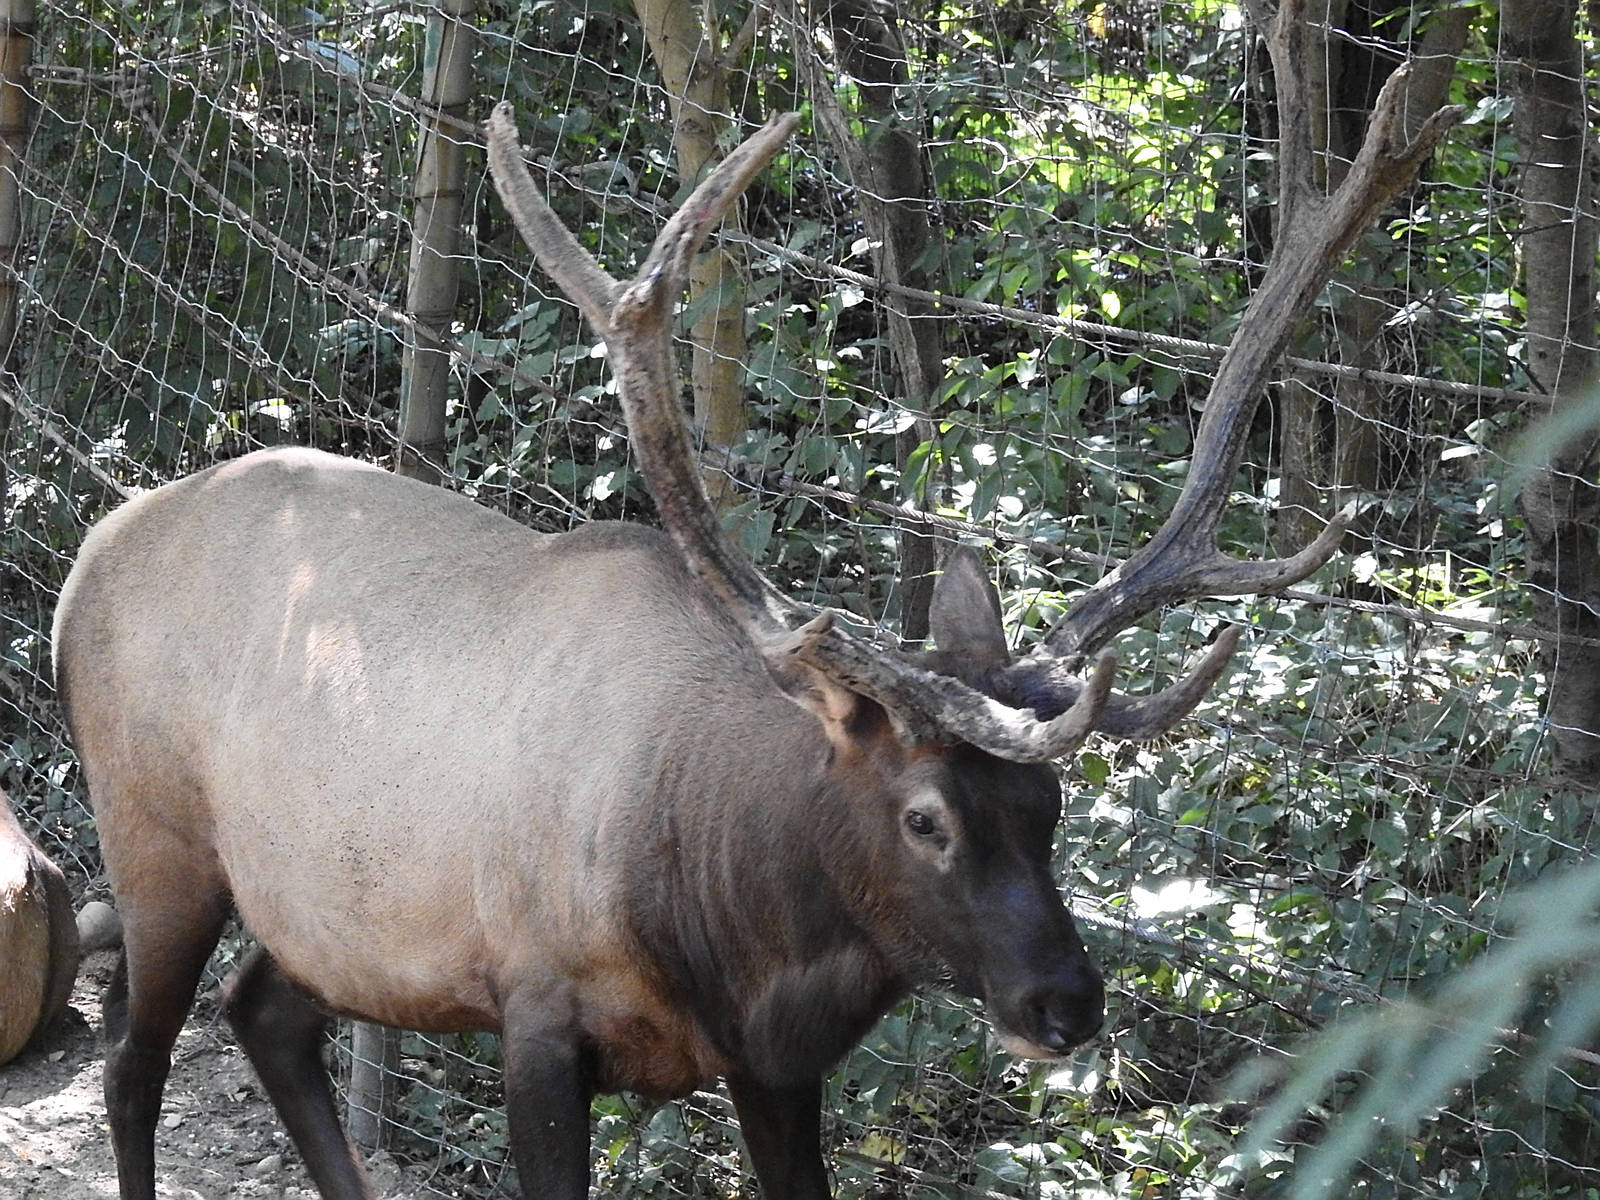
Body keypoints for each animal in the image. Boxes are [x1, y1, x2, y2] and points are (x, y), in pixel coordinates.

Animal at [52, 7, 1456, 1194]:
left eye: (1050, 807)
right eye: (926, 817)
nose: (1067, 1003)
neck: (729, 929)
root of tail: (83, 562)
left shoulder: (773, 1067)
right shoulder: (534, 1010)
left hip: (329, 910)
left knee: (263, 1014)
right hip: (153, 829)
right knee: (131, 1058)